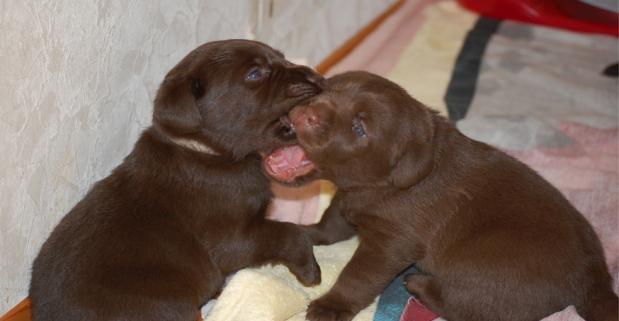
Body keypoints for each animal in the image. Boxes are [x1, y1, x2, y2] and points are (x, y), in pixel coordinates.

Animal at [30, 39, 324, 320]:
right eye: (254, 73)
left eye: (282, 56)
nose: (316, 76)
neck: (203, 150)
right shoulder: (232, 239)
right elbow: (288, 231)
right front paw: (309, 267)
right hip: (169, 303)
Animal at [278, 71, 616, 320]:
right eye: (327, 89)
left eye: (360, 128)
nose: (307, 114)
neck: (383, 184)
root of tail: (596, 280)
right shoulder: (348, 199)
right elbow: (332, 223)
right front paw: (307, 232)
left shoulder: (390, 244)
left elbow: (358, 276)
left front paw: (331, 306)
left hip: (482, 268)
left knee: (471, 306)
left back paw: (419, 284)